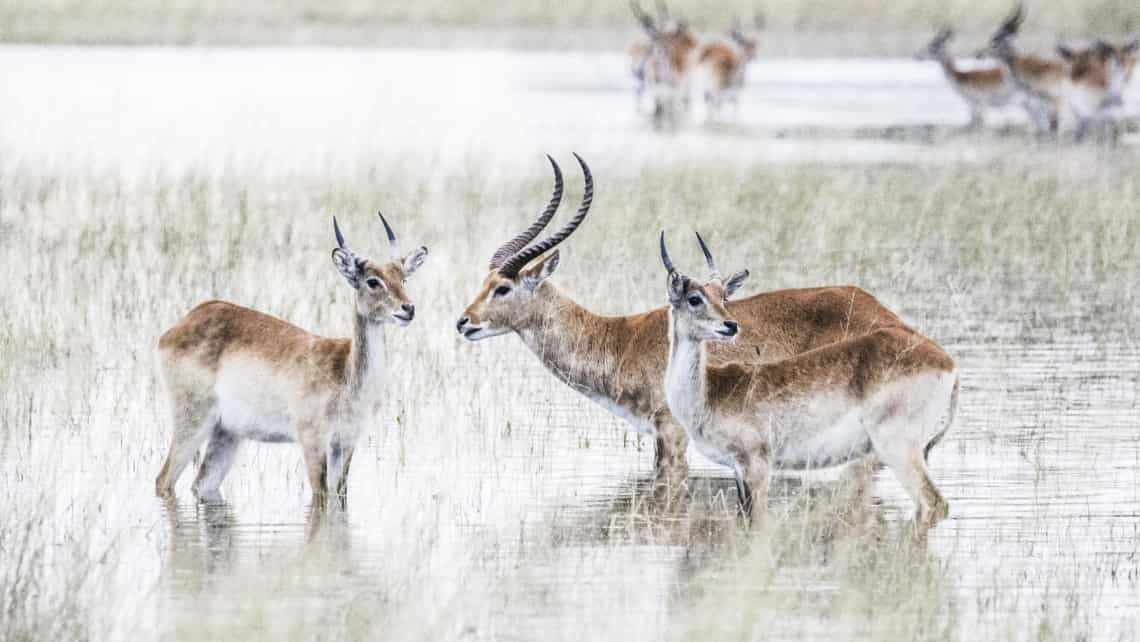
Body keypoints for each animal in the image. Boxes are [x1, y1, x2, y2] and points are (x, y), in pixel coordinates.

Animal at [153, 213, 428, 504]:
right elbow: (320, 496)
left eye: (403, 279)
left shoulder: (345, 443)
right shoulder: (312, 441)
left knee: (201, 484)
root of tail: (178, 326)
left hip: (227, 433)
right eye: (373, 281)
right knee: (164, 479)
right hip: (193, 421)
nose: (408, 309)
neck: (345, 372)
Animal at [453, 153, 907, 476]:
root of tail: (891, 320)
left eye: (503, 287)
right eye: (484, 280)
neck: (619, 338)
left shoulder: (672, 434)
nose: (464, 322)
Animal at [656, 232, 957, 526]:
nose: (730, 326)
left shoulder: (757, 466)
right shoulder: (738, 472)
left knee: (933, 504)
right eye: (695, 298)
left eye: (723, 297)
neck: (708, 392)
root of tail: (948, 362)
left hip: (897, 448)